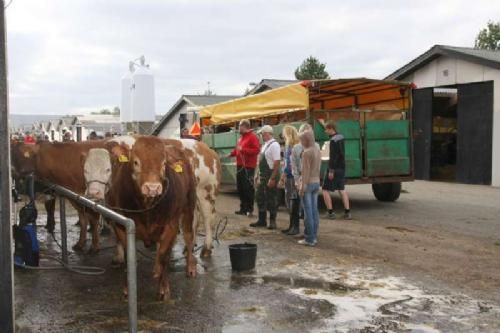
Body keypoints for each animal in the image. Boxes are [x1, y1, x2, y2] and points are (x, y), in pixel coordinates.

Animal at [105, 135, 197, 298]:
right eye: (136, 162)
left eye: (164, 163)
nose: (152, 187)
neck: (146, 209)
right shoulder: (121, 226)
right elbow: (129, 257)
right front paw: (127, 288)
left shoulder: (171, 226)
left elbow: (164, 256)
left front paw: (164, 288)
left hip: (189, 206)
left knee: (188, 236)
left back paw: (190, 267)